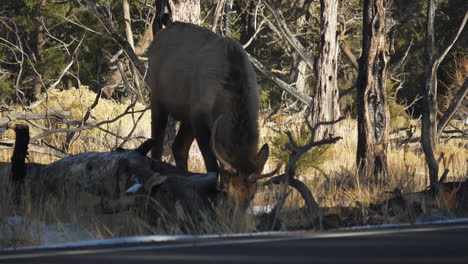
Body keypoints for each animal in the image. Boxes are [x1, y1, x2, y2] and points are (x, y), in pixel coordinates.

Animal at [146, 21, 270, 209]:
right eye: (227, 191)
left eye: (252, 195)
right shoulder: (199, 119)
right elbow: (212, 166)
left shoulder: (194, 117)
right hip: (158, 99)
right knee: (157, 145)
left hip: (186, 115)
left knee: (178, 146)